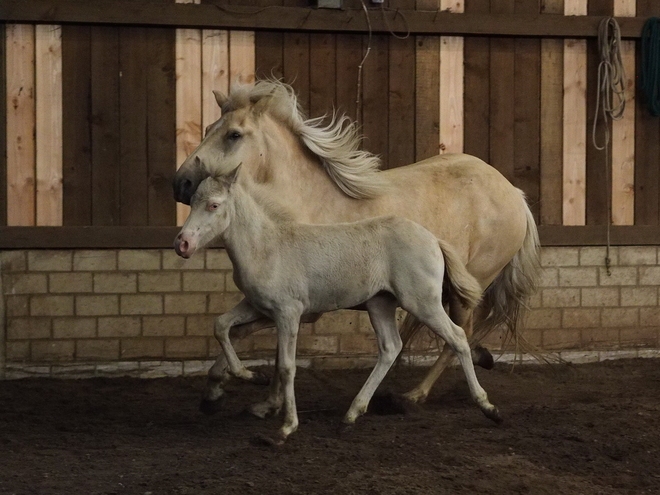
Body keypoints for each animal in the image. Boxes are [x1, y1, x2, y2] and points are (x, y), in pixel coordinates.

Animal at [173, 79, 540, 408]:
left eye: (233, 134)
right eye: (208, 128)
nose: (181, 183)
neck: (297, 208)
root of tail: (514, 194)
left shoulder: (302, 308)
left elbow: (260, 344)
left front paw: (252, 393)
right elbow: (236, 332)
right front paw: (227, 389)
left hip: (468, 287)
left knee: (456, 336)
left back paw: (415, 394)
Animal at [175, 169, 500, 444]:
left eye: (214, 205)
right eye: (193, 202)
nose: (182, 244)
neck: (265, 247)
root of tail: (433, 238)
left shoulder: (288, 313)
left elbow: (286, 366)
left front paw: (285, 428)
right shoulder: (257, 306)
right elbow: (221, 326)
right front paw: (250, 377)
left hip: (423, 302)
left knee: (457, 337)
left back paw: (488, 406)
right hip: (380, 303)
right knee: (391, 347)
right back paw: (351, 415)